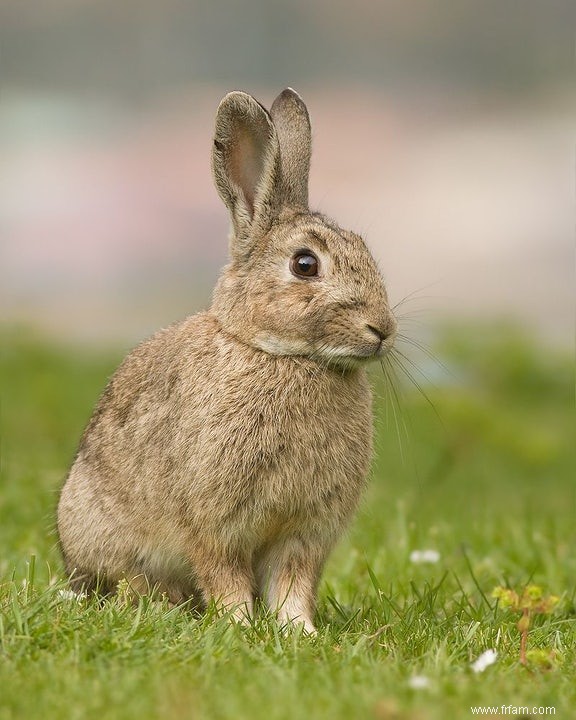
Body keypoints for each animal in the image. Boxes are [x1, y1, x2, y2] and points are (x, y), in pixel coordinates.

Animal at [59, 88, 400, 632]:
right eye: (305, 264)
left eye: (365, 249)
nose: (382, 330)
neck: (282, 355)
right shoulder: (214, 523)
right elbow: (224, 575)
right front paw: (239, 625)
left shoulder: (304, 533)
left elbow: (293, 583)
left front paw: (299, 631)